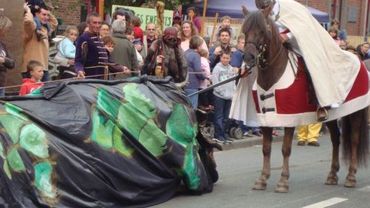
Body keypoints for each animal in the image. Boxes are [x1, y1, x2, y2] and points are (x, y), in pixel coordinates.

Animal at [241, 10, 368, 193]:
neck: (273, 74)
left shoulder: (288, 118)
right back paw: (332, 175)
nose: (248, 57)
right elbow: (266, 149)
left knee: (354, 141)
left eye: (262, 31)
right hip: (332, 116)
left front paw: (283, 181)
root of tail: (360, 60)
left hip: (355, 111)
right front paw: (262, 179)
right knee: (336, 139)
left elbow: (285, 149)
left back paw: (351, 177)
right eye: (245, 31)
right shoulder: (266, 119)